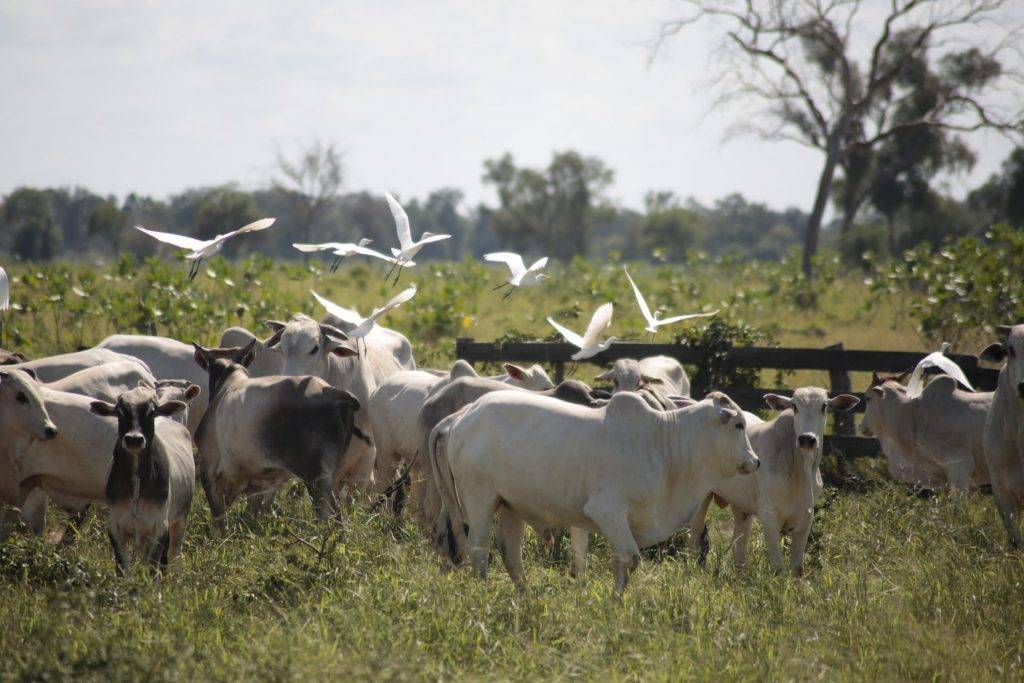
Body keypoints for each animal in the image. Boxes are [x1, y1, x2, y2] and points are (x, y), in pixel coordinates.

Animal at [89, 385, 195, 574]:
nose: (134, 439)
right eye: (119, 412)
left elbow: (152, 569)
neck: (137, 484)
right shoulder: (115, 529)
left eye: (151, 412)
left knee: (174, 554)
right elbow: (123, 570)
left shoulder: (160, 529)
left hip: (180, 520)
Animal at [192, 342, 367, 531]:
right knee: (338, 519)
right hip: (330, 477)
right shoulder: (259, 484)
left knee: (326, 518)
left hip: (317, 478)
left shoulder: (209, 474)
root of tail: (337, 394)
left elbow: (221, 525)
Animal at [430, 390, 758, 594]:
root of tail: (462, 415)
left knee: (509, 550)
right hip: (479, 498)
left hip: (511, 504)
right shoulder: (607, 511)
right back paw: (486, 589)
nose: (755, 461)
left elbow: (621, 562)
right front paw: (615, 600)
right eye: (739, 424)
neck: (663, 446)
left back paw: (523, 593)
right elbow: (631, 558)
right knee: (479, 548)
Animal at [688, 388, 859, 576]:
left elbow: (797, 568)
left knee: (739, 547)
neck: (799, 470)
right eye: (794, 406)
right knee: (694, 541)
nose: (806, 439)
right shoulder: (769, 516)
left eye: (824, 406)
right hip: (701, 500)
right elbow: (778, 567)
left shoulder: (806, 517)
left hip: (742, 507)